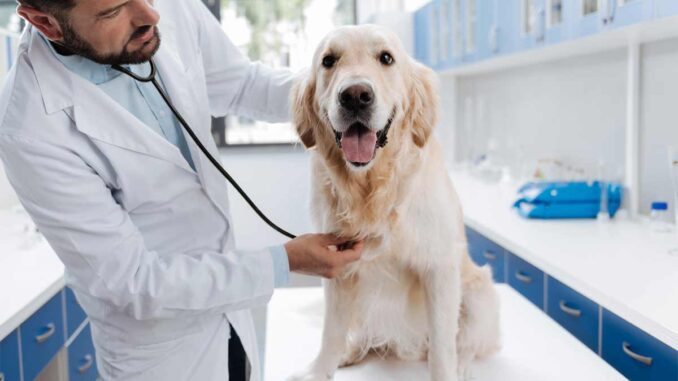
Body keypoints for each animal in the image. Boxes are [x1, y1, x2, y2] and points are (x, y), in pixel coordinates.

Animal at [290, 24, 502, 380]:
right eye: (328, 60)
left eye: (386, 58)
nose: (355, 95)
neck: (372, 190)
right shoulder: (339, 269)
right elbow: (330, 335)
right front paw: (320, 371)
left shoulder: (440, 268)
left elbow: (443, 348)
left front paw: (447, 370)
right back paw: (350, 352)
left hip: (480, 292)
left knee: (465, 344)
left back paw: (461, 366)